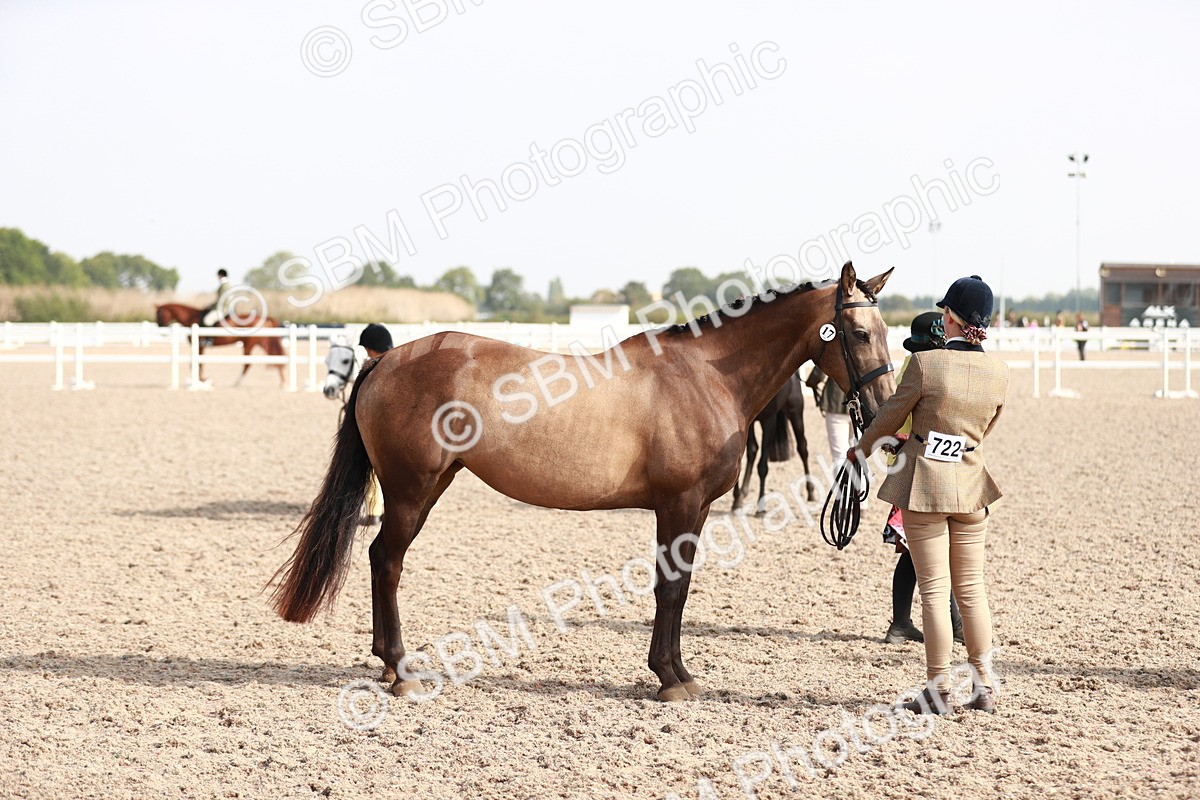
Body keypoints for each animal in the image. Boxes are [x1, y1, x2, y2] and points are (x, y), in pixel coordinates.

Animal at [154, 303, 286, 386]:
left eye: (159, 314)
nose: (160, 327)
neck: (191, 318)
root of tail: (263, 318)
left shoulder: (200, 345)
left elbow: (196, 363)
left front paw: (202, 379)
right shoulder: (200, 347)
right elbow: (196, 362)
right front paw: (201, 379)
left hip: (249, 344)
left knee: (248, 363)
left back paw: (237, 382)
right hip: (260, 342)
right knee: (276, 357)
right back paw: (282, 381)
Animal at [730, 372, 818, 514]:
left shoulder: (769, 420)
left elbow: (762, 466)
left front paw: (761, 507)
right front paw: (737, 499)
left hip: (795, 413)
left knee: (803, 449)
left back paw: (810, 492)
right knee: (753, 451)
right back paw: (743, 493)